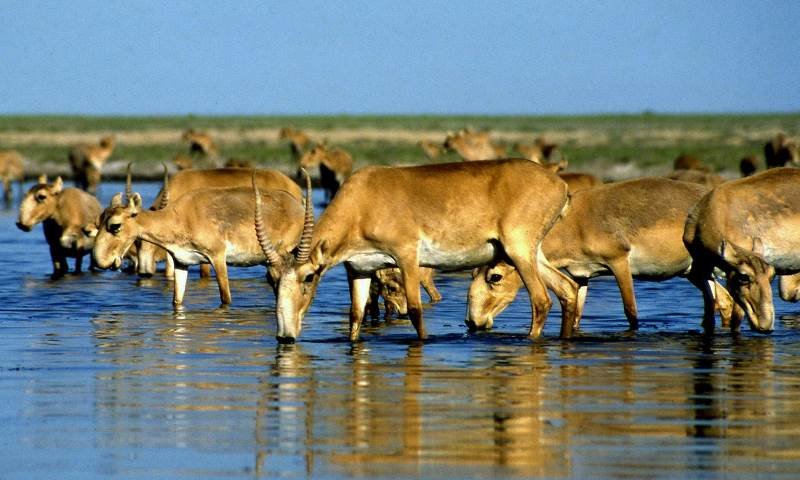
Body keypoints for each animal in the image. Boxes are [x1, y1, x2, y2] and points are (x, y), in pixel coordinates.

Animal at [265, 159, 577, 343]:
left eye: (309, 276)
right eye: (272, 279)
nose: (285, 336)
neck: (363, 200)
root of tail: (560, 185)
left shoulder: (406, 257)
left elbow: (415, 310)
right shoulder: (358, 269)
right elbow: (356, 315)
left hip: (519, 251)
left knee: (541, 300)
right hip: (533, 254)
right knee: (568, 289)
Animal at [467, 177, 736, 335]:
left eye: (495, 277)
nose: (471, 322)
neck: (573, 223)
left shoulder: (619, 263)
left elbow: (631, 311)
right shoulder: (582, 276)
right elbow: (577, 314)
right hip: (694, 272)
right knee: (722, 301)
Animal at [683, 167, 800, 333]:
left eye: (772, 275)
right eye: (744, 277)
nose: (766, 325)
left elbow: (736, 320)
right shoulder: (702, 271)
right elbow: (708, 318)